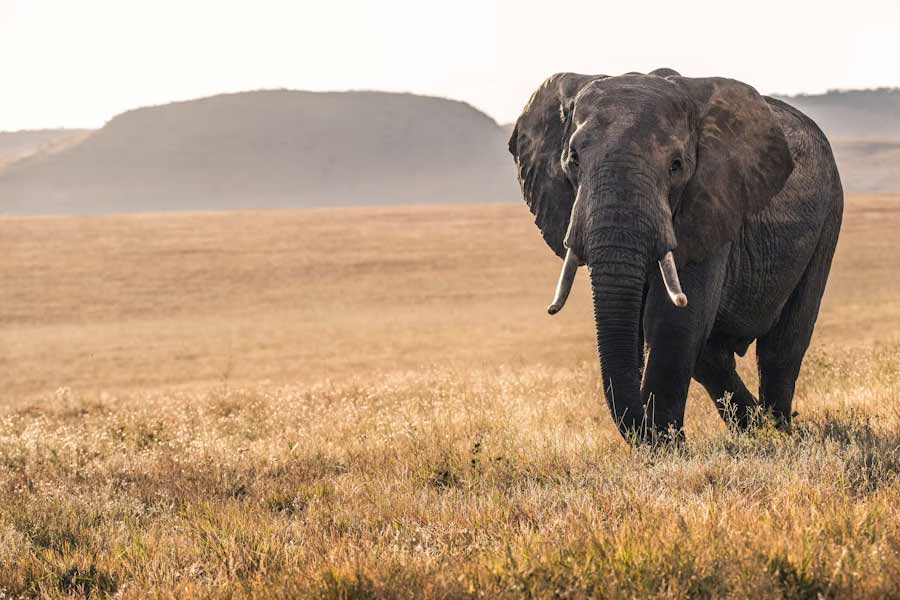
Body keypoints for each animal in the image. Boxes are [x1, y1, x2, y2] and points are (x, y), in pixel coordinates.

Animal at [508, 69, 843, 442]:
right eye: (573, 159)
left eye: (676, 166)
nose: (648, 432)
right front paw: (662, 442)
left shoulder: (710, 202)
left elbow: (672, 321)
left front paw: (666, 446)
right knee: (712, 356)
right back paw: (753, 429)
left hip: (829, 216)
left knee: (782, 345)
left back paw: (778, 431)